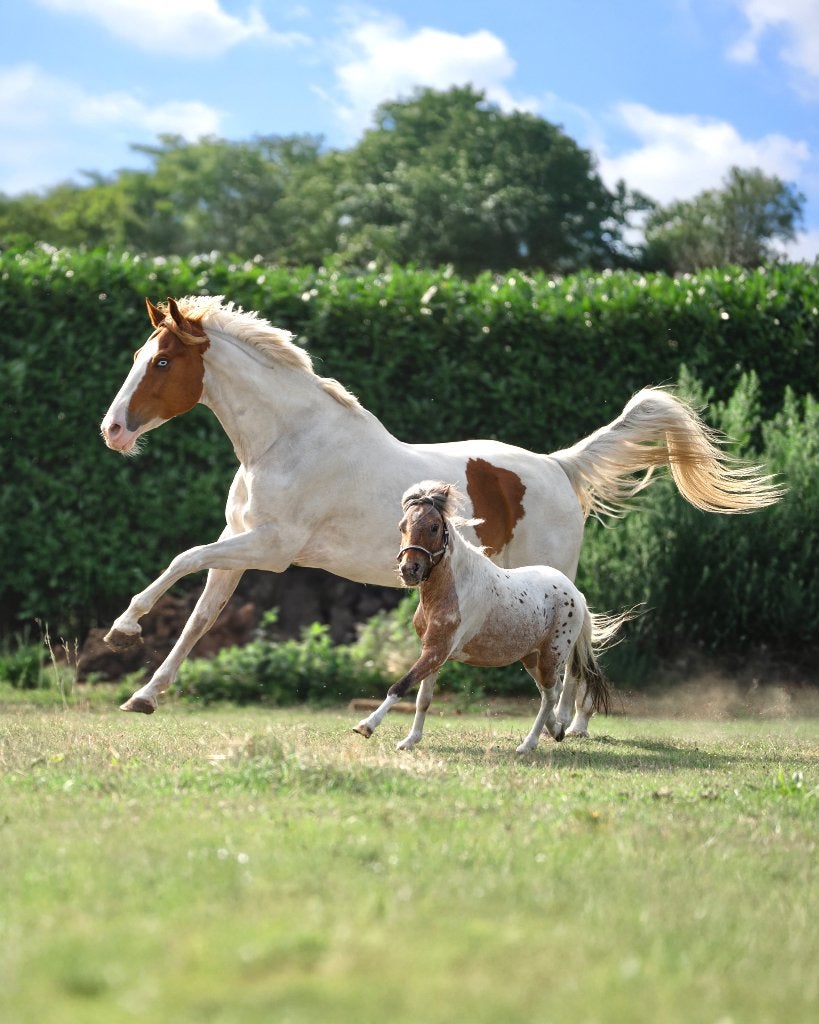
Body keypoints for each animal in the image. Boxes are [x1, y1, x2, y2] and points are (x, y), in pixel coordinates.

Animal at [100, 295, 782, 716]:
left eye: (162, 361)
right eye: (139, 358)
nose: (112, 431)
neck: (287, 440)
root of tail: (559, 467)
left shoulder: (270, 548)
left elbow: (181, 559)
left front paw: (122, 630)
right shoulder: (239, 551)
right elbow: (198, 618)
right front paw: (143, 695)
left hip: (553, 573)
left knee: (577, 636)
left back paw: (566, 724)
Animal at [353, 482, 625, 752]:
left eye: (434, 526)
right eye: (402, 526)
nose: (409, 570)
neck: (453, 588)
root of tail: (575, 593)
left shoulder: (437, 651)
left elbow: (400, 686)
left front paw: (365, 726)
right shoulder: (432, 653)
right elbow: (423, 699)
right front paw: (410, 741)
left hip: (552, 656)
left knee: (550, 695)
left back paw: (528, 744)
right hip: (531, 658)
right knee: (550, 692)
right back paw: (556, 730)